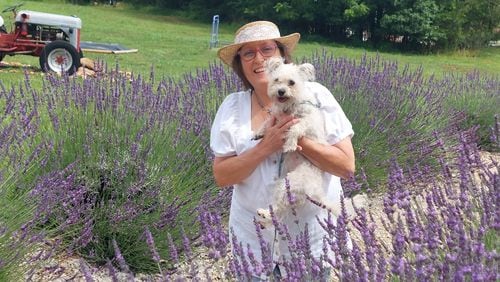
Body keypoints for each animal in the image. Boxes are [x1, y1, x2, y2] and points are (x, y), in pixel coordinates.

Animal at [254, 57, 344, 227]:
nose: (281, 91)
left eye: (291, 82)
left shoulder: (306, 121)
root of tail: (316, 191)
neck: (289, 106)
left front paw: (290, 144)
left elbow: (295, 129)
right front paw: (259, 133)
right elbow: (269, 121)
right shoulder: (276, 116)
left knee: (278, 209)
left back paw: (264, 214)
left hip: (289, 182)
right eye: (276, 80)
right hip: (284, 186)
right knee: (281, 208)